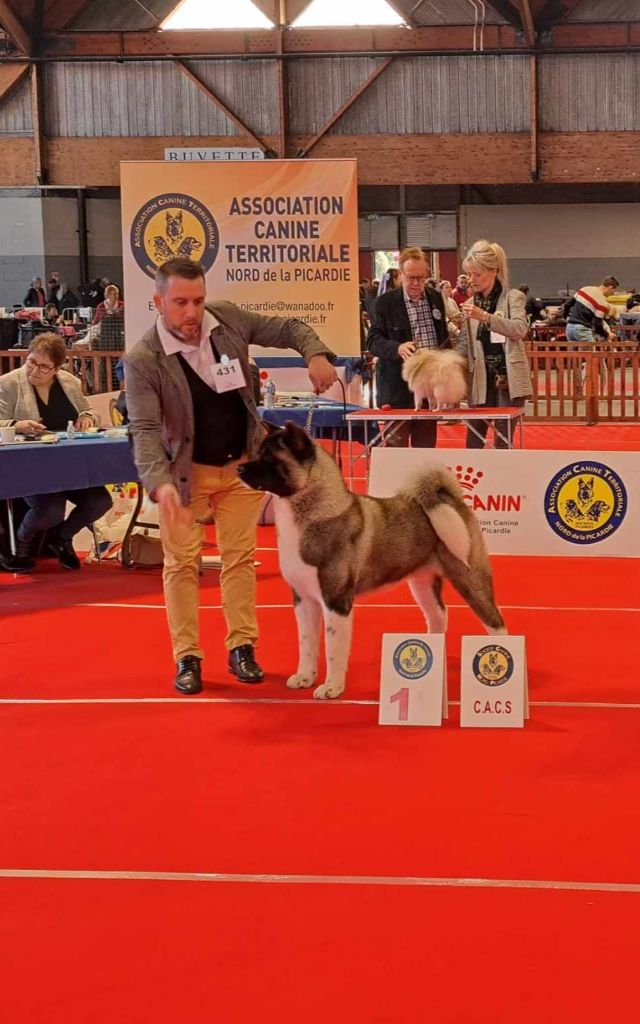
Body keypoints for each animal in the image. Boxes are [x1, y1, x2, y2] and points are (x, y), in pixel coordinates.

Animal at [237, 422, 506, 700]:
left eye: (270, 458)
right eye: (259, 451)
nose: (239, 468)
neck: (315, 513)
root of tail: (448, 498)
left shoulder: (336, 602)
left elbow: (333, 649)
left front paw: (332, 687)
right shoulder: (304, 600)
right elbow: (307, 644)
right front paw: (305, 677)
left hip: (470, 577)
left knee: (495, 620)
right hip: (422, 583)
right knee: (438, 615)